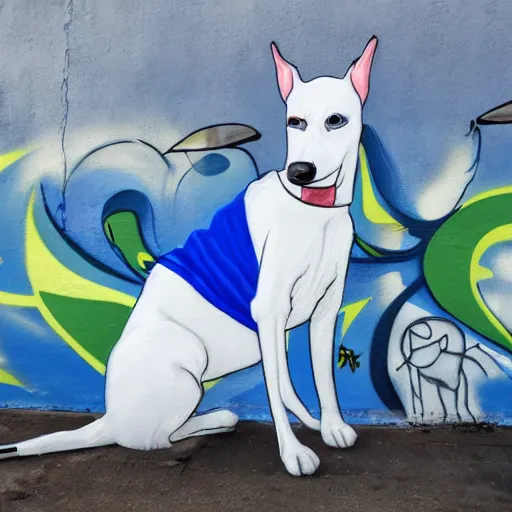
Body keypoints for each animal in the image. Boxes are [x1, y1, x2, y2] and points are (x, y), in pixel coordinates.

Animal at [0, 37, 376, 476]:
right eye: (294, 121)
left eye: (336, 120)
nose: (300, 170)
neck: (313, 210)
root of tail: (108, 419)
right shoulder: (268, 309)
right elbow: (277, 393)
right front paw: (293, 453)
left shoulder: (324, 309)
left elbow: (321, 378)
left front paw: (331, 426)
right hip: (185, 350)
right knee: (157, 437)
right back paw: (212, 421)